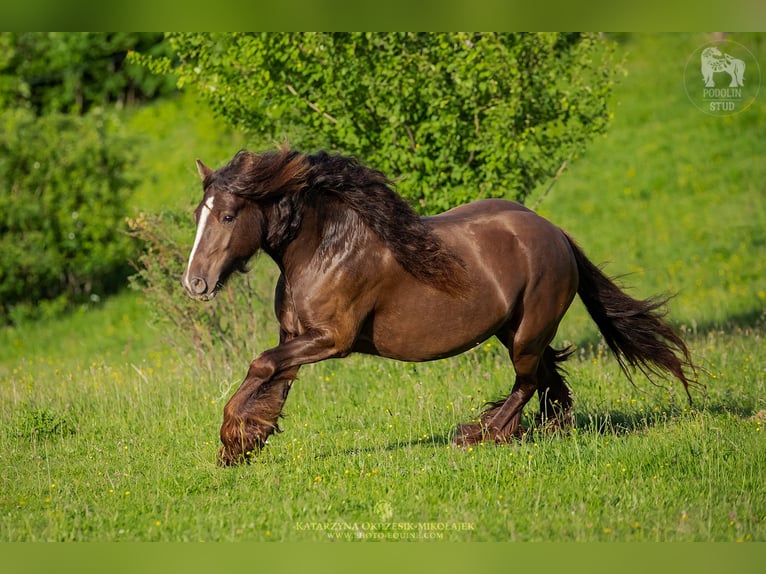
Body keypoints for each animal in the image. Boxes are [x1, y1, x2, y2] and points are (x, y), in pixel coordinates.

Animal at [183, 146, 700, 466]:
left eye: (227, 215)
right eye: (197, 215)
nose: (195, 283)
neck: (325, 247)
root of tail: (555, 233)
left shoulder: (331, 340)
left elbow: (261, 365)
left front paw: (232, 440)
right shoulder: (296, 337)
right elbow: (272, 377)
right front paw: (246, 440)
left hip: (527, 333)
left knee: (529, 381)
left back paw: (481, 434)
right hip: (513, 329)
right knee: (548, 378)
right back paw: (539, 430)